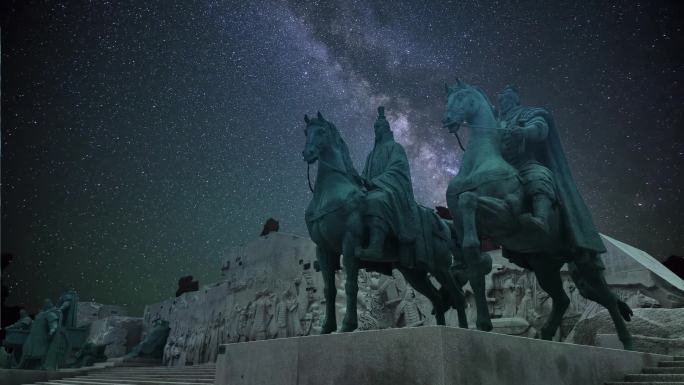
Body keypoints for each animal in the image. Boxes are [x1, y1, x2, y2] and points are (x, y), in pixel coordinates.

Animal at [304, 112, 470, 332]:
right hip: (415, 272)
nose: (307, 153)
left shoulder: (349, 243)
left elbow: (350, 286)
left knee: (457, 296)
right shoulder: (323, 249)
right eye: (306, 132)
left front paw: (348, 324)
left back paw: (464, 329)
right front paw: (327, 327)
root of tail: (443, 224)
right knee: (436, 298)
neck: (331, 192)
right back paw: (438, 327)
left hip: (440, 267)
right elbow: (329, 290)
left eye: (321, 131)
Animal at [440, 81, 632, 348]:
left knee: (609, 299)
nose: (447, 120)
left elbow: (469, 199)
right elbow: (473, 260)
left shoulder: (505, 215)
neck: (478, 164)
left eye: (462, 98)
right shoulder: (462, 224)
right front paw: (483, 324)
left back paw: (627, 342)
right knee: (562, 299)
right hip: (545, 268)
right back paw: (548, 335)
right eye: (448, 100)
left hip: (585, 264)